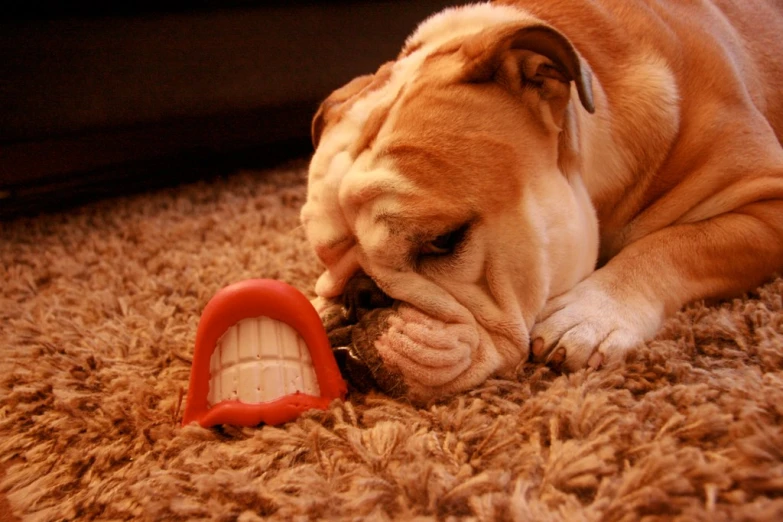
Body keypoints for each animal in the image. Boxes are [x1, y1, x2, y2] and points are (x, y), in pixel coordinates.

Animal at [300, 0, 783, 400]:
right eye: (323, 255)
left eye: (443, 240)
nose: (357, 295)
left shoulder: (768, 196)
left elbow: (678, 245)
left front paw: (591, 315)